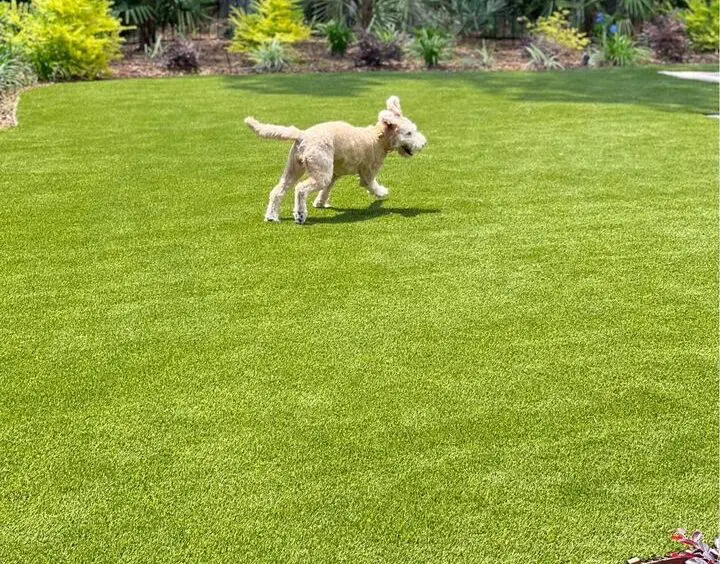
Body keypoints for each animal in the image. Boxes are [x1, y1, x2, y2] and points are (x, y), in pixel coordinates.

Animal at [248, 96, 428, 224]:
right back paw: (300, 215)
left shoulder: (334, 175)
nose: (424, 143)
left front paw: (320, 203)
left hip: (295, 169)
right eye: (409, 133)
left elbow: (326, 191)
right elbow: (371, 185)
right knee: (300, 189)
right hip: (319, 173)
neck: (377, 137)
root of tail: (302, 135)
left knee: (277, 191)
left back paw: (272, 216)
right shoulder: (368, 173)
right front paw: (382, 193)